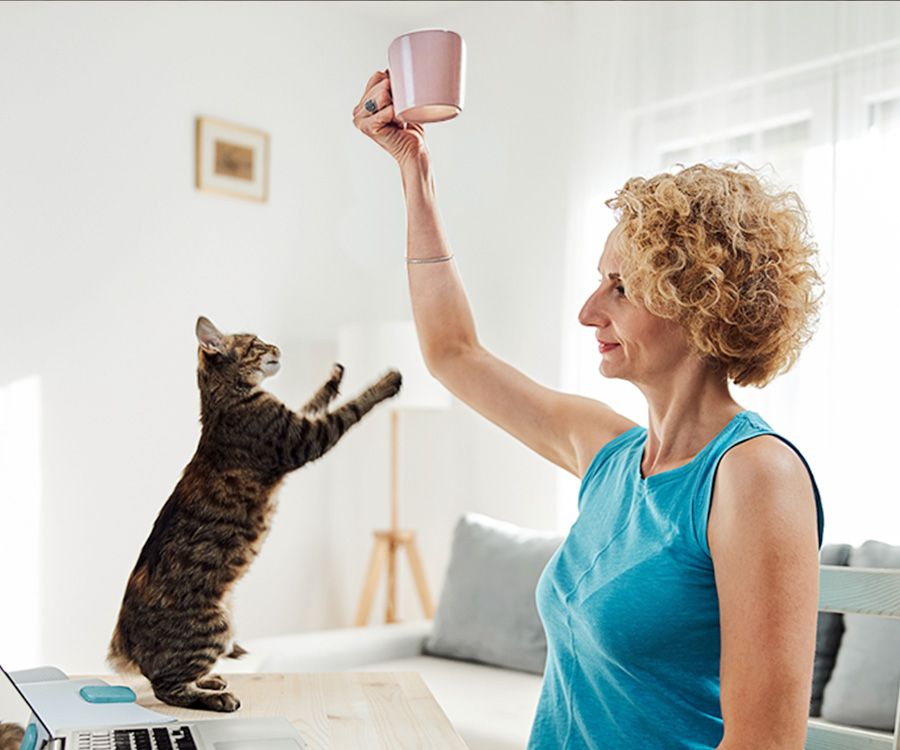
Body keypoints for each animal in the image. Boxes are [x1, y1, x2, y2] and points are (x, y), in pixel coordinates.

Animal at [107, 316, 400, 712]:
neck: (225, 400)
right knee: (164, 686)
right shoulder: (304, 440)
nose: (278, 347)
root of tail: (123, 640)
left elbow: (316, 400)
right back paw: (217, 697)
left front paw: (335, 375)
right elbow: (352, 408)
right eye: (258, 342)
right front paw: (386, 382)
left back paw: (210, 681)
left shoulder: (297, 422)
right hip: (216, 627)